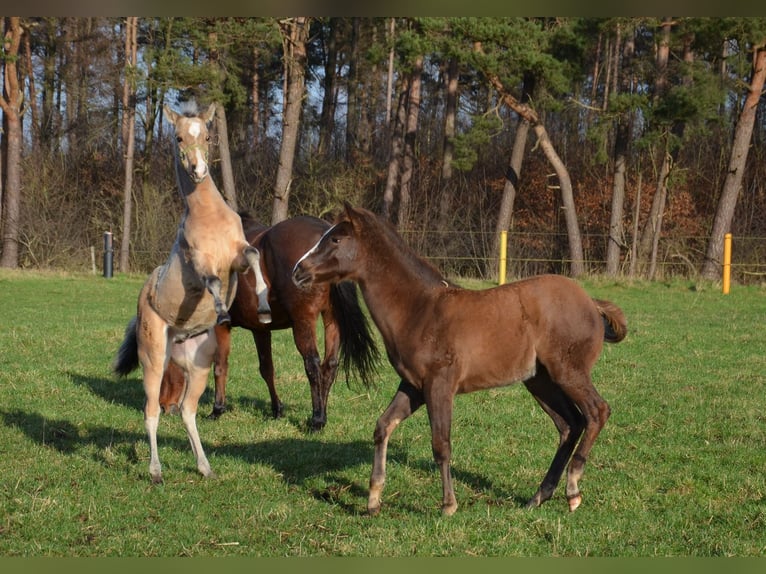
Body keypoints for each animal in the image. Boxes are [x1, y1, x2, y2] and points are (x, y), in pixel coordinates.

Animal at [112, 103, 272, 486]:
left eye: (209, 135)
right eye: (179, 137)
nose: (198, 170)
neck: (208, 216)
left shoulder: (237, 254)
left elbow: (255, 257)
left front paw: (264, 307)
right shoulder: (199, 263)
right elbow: (212, 282)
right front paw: (224, 311)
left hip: (198, 366)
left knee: (187, 410)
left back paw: (205, 467)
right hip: (154, 359)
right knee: (151, 410)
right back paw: (156, 472)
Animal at [160, 212, 380, 432]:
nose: (164, 407)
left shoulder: (220, 325)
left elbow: (220, 366)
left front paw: (217, 409)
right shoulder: (260, 329)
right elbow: (267, 369)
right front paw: (277, 410)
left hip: (304, 320)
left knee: (313, 365)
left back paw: (317, 419)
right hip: (332, 319)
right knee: (330, 365)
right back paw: (322, 415)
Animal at [292, 206, 628, 516]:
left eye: (336, 238)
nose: (298, 271)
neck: (419, 310)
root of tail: (592, 303)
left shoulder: (439, 385)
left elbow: (441, 444)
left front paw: (448, 505)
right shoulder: (413, 386)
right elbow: (383, 426)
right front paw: (373, 500)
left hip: (567, 371)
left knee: (596, 412)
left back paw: (573, 488)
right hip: (539, 380)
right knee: (569, 424)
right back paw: (539, 496)